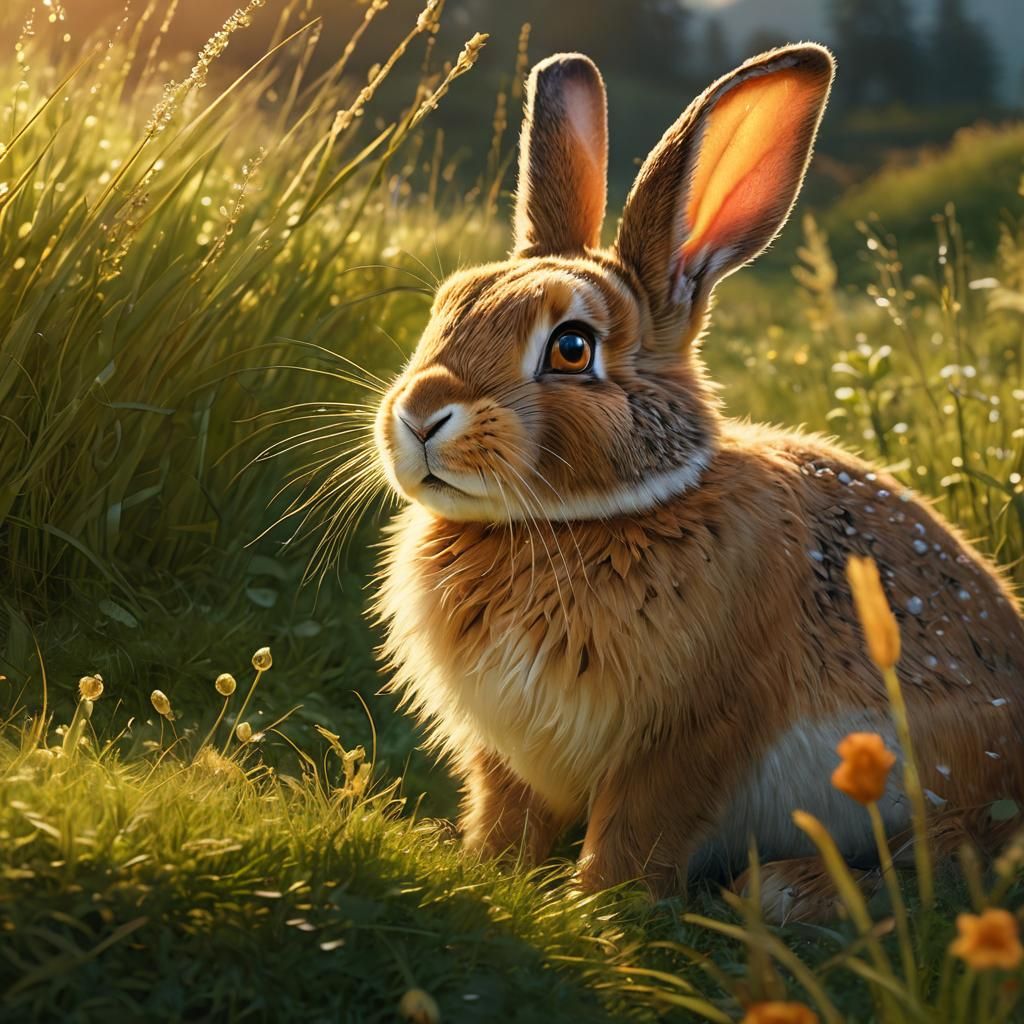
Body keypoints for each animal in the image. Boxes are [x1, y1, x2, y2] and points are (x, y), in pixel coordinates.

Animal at [372, 43, 1024, 919]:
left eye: (571, 348)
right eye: (446, 308)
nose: (418, 415)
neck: (589, 520)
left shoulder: (690, 736)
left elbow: (638, 831)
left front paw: (598, 911)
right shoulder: (508, 750)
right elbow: (506, 814)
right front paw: (488, 871)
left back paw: (785, 890)